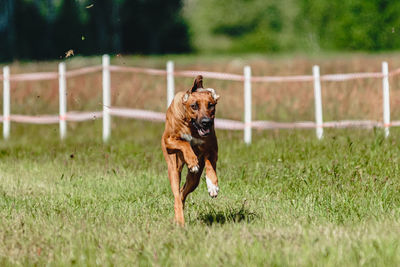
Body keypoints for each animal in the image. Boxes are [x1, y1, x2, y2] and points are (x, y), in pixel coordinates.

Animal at [161, 75, 220, 226]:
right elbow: (184, 143)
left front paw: (212, 185)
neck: (191, 126)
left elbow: (210, 164)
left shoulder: (212, 149)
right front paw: (192, 161)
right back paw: (180, 221)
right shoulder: (168, 140)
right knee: (177, 194)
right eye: (194, 106)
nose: (206, 122)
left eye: (211, 105)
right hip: (173, 169)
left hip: (194, 180)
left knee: (183, 193)